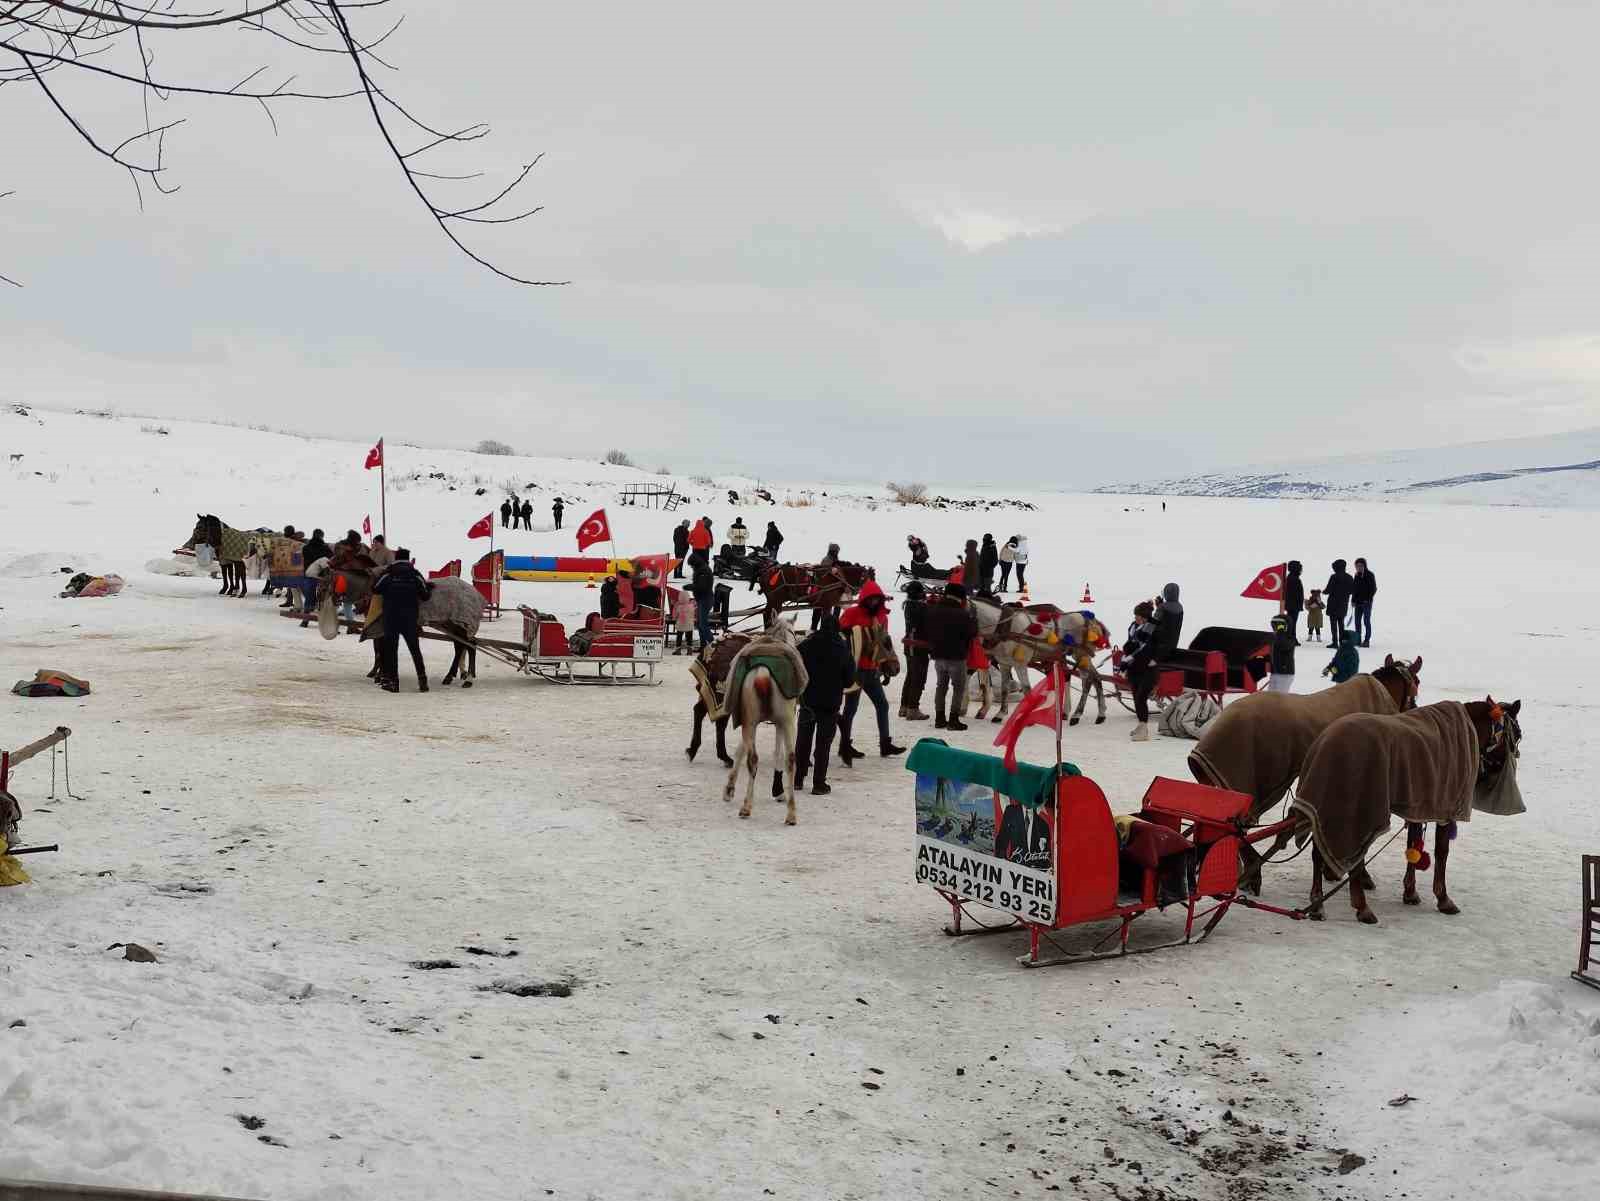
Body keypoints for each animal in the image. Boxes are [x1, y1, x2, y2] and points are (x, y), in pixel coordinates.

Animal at [316, 566, 480, 684]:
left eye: (323, 586)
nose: (318, 605)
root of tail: (472, 590)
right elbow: (379, 650)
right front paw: (378, 673)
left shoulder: (382, 626)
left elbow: (380, 651)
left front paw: (379, 675)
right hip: (451, 625)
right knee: (463, 647)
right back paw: (455, 676)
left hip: (459, 624)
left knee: (469, 645)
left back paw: (466, 678)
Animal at [723, 620, 806, 825]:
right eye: (794, 632)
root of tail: (763, 672)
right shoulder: (778, 722)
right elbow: (775, 752)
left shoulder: (757, 721)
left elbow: (741, 749)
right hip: (781, 720)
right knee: (782, 759)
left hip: (756, 721)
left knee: (771, 759)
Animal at [1280, 690, 1516, 927]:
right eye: (1517, 735)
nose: (1488, 774)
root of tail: (1325, 741)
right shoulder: (1446, 811)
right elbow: (1442, 852)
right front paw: (1443, 898)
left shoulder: (1418, 809)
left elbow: (1413, 845)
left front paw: (1410, 892)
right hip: (1358, 807)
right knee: (1353, 857)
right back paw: (1361, 907)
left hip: (1329, 806)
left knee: (1320, 852)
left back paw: (1318, 903)